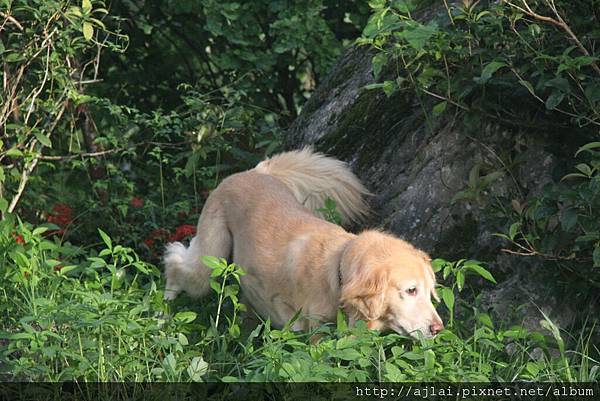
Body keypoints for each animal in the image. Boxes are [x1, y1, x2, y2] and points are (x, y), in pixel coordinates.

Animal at [162, 148, 442, 336]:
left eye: (429, 291)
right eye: (410, 290)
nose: (438, 328)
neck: (336, 273)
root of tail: (255, 171)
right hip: (208, 262)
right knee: (175, 263)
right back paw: (161, 315)